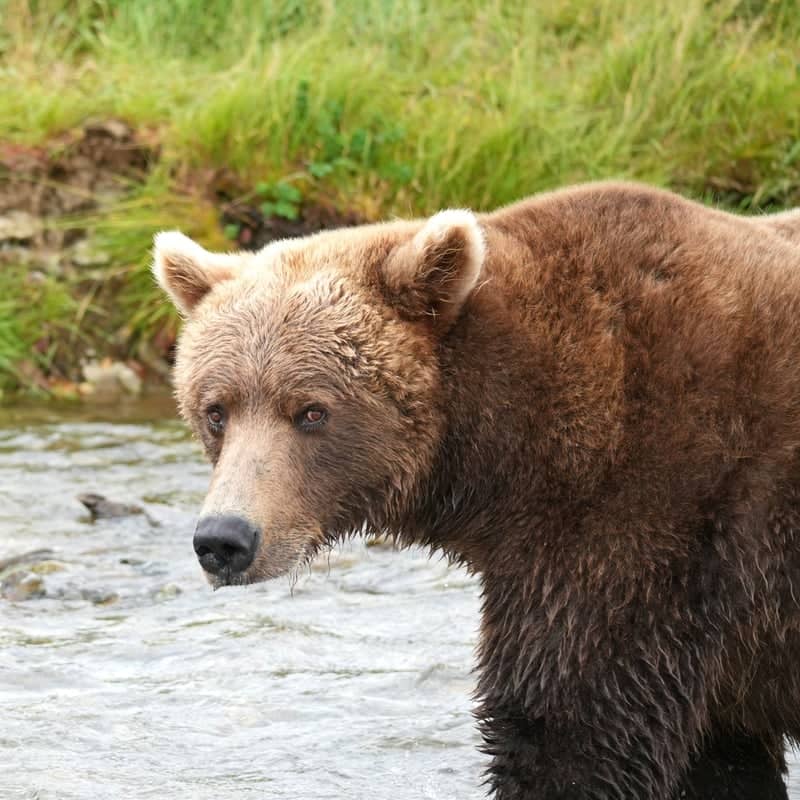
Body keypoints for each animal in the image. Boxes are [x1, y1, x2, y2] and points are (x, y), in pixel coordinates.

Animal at [152, 181, 800, 799]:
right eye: (216, 410)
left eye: (311, 411)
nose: (224, 539)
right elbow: (720, 759)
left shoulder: (645, 529)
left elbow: (573, 733)